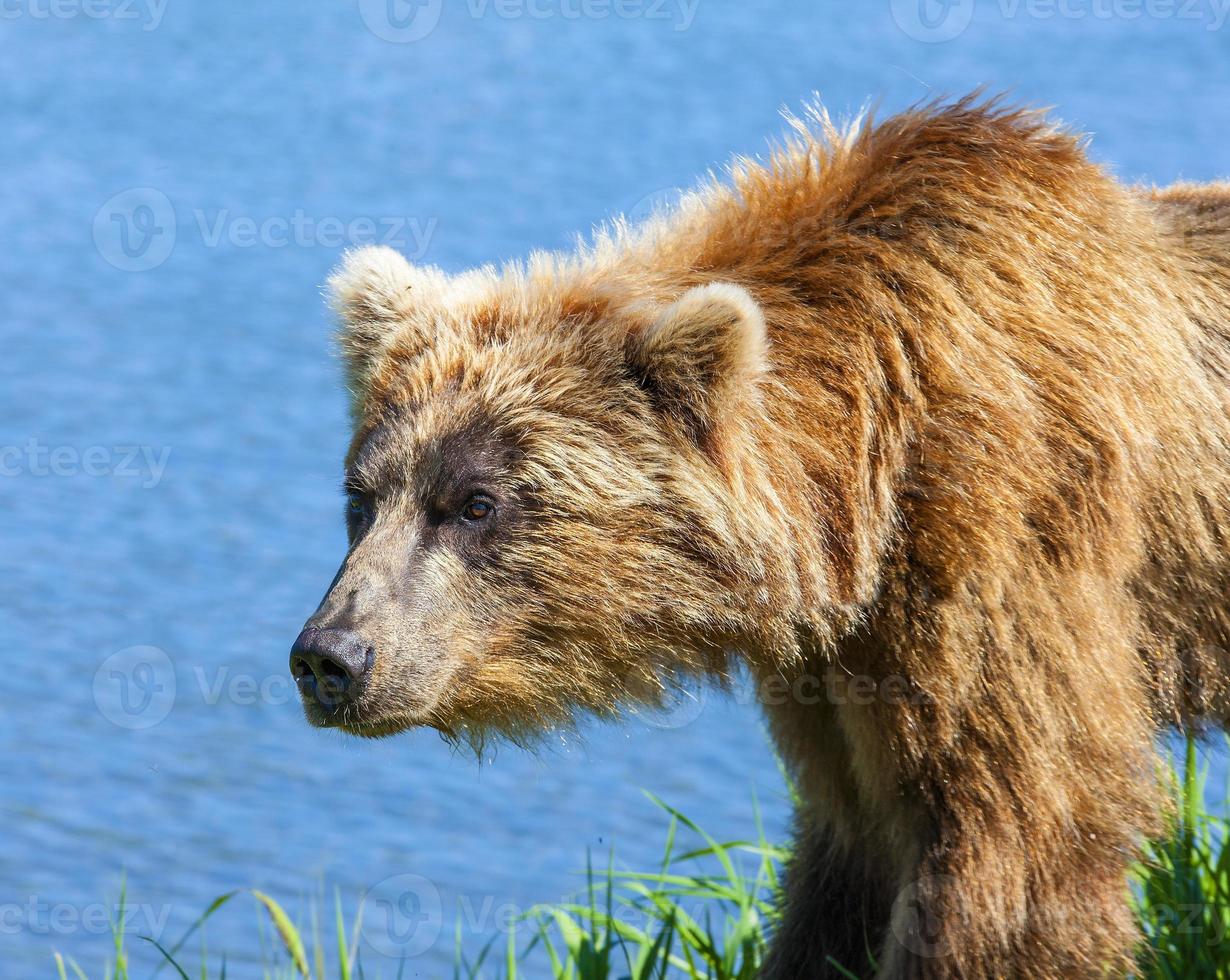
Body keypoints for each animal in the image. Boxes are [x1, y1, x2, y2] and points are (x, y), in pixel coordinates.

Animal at [287, 97, 1230, 978]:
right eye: (361, 496)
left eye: (476, 502)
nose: (331, 656)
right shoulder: (840, 663)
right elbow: (850, 856)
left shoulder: (1006, 543)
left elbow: (1021, 846)